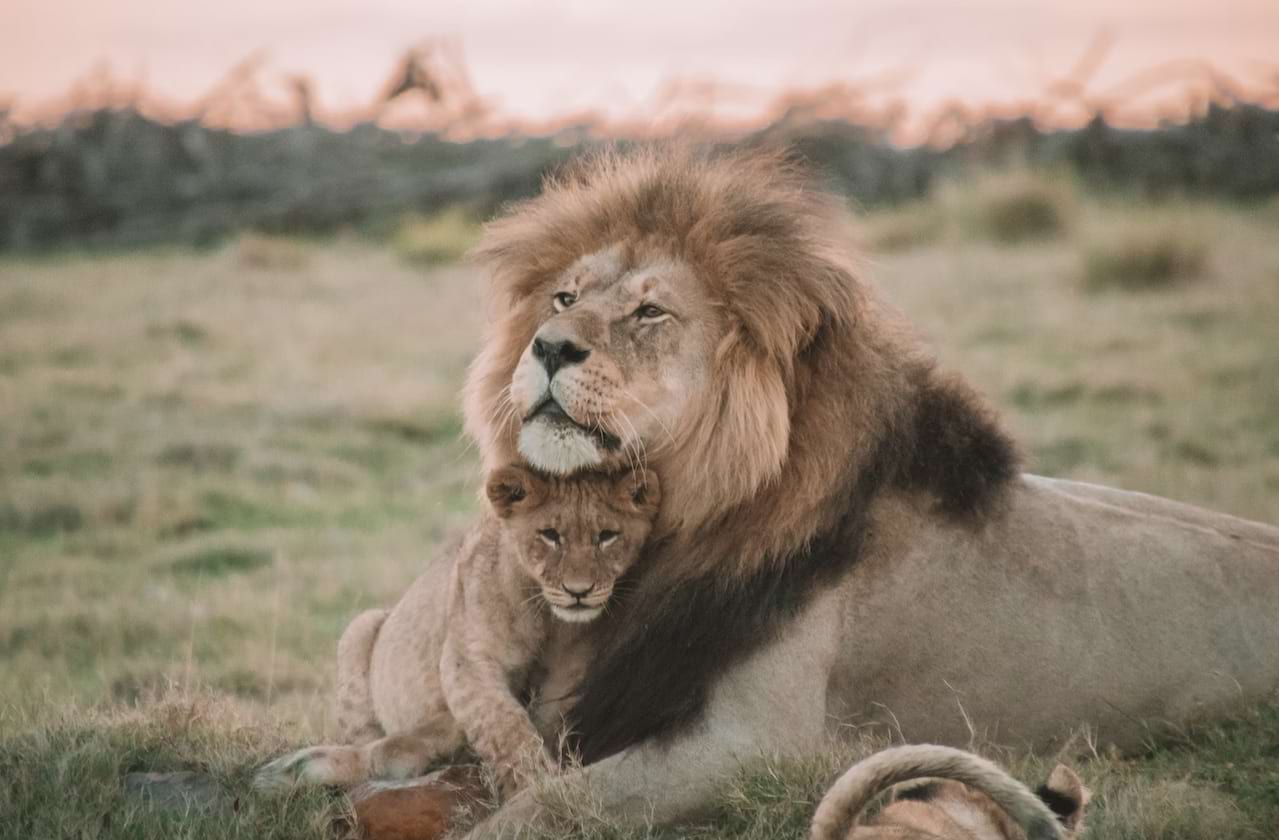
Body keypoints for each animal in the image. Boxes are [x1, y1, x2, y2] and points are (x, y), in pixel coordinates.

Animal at [437, 147, 1279, 828]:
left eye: (650, 311)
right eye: (564, 299)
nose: (548, 347)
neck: (685, 518)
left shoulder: (755, 743)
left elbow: (547, 803)